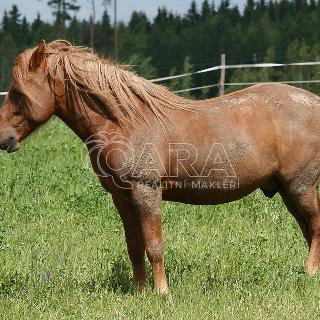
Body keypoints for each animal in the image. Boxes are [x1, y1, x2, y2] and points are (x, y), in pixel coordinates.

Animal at [0, 40, 320, 296]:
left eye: (18, 91)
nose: (4, 137)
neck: (125, 122)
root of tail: (314, 102)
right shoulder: (122, 198)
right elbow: (134, 246)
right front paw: (139, 291)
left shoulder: (146, 192)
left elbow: (154, 245)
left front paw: (161, 292)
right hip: (287, 191)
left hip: (300, 186)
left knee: (315, 227)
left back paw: (309, 273)